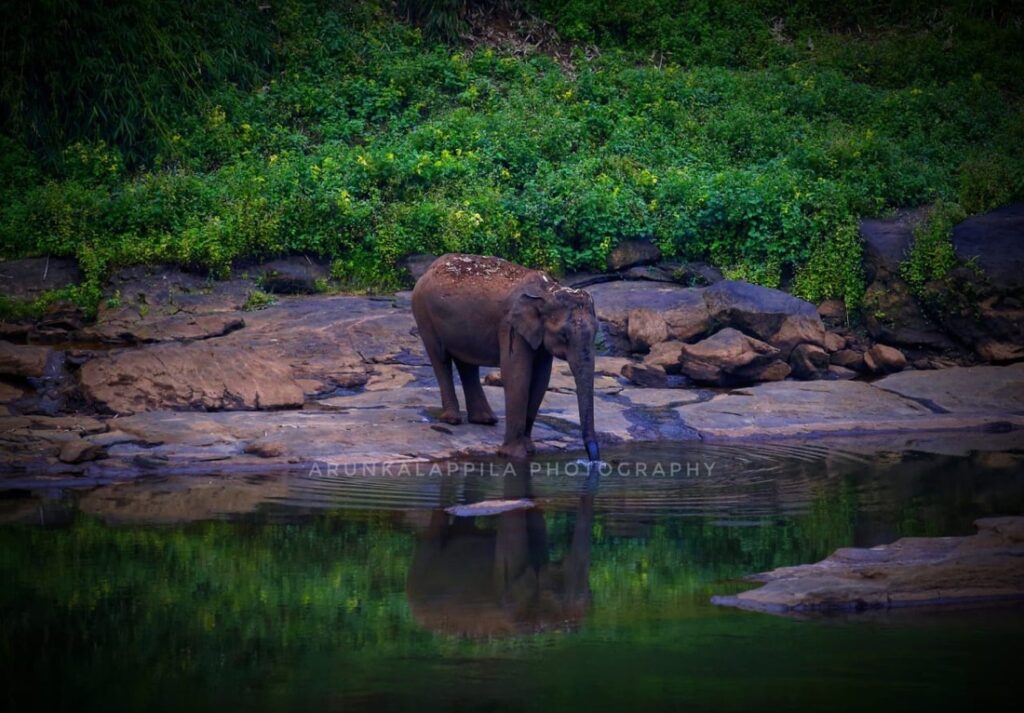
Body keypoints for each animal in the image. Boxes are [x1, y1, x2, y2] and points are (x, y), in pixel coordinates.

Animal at [411, 253, 600, 461]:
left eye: (596, 332)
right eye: (564, 335)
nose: (593, 461)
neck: (547, 292)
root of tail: (431, 266)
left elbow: (541, 380)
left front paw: (530, 450)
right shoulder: (511, 326)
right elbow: (517, 376)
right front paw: (515, 455)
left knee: (466, 363)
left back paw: (485, 420)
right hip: (423, 313)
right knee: (441, 358)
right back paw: (452, 420)